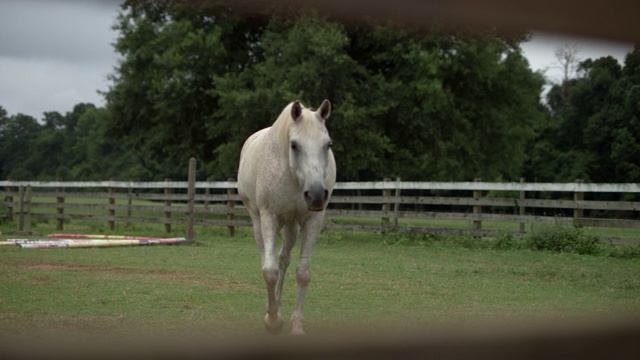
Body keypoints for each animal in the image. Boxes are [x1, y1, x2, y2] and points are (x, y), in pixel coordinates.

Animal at [238, 99, 338, 334]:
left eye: (327, 144)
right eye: (294, 145)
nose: (317, 195)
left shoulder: (313, 221)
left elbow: (302, 273)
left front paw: (297, 326)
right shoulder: (269, 217)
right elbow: (269, 271)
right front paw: (272, 320)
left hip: (292, 224)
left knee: (284, 259)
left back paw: (279, 305)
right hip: (258, 220)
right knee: (267, 256)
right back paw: (272, 310)